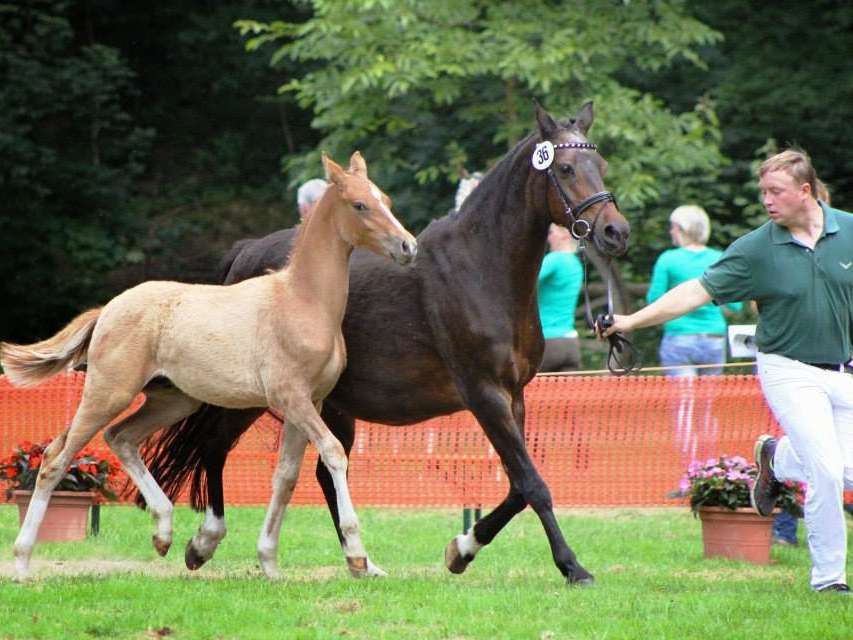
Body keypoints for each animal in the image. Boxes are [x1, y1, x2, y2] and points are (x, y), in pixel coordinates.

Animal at [0, 152, 417, 580]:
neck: (301, 301)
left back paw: (164, 532)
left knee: (121, 438)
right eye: (360, 205)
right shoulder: (292, 399)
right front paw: (357, 555)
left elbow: (286, 476)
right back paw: (23, 563)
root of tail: (108, 310)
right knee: (55, 460)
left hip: (173, 401)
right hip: (108, 393)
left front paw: (270, 566)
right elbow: (334, 453)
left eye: (385, 198)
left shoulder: (310, 403)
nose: (408, 246)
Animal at [143, 101, 630, 585]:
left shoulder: (514, 397)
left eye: (602, 165)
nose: (615, 232)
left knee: (320, 471)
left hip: (330, 406)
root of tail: (246, 251)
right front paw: (572, 566)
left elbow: (516, 487)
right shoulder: (484, 395)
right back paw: (204, 542)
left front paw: (462, 549)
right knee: (215, 446)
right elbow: (533, 485)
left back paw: (361, 563)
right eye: (565, 168)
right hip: (250, 397)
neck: (481, 268)